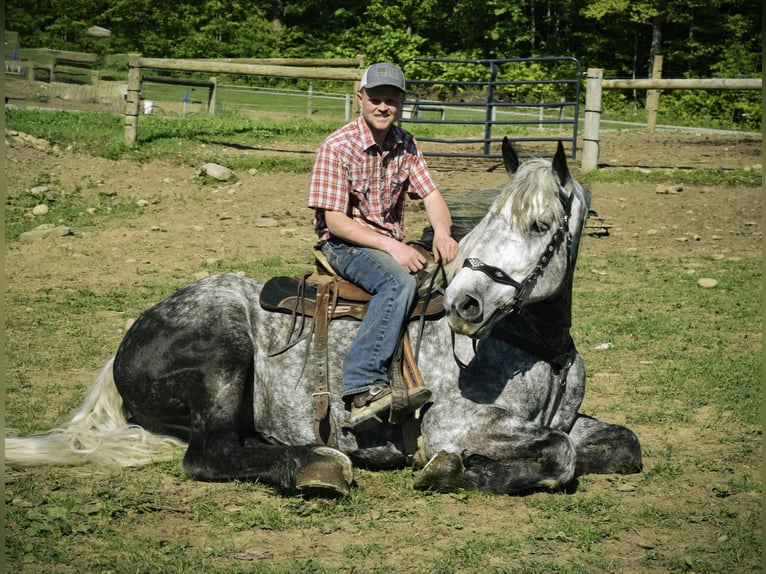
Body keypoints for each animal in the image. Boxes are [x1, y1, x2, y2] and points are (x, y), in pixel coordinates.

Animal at [4, 141, 640, 500]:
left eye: (540, 225)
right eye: (489, 218)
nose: (467, 305)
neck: (533, 344)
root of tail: (128, 340)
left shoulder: (571, 420)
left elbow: (617, 445)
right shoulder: (455, 424)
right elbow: (557, 454)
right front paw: (449, 471)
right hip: (221, 357)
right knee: (210, 455)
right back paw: (317, 464)